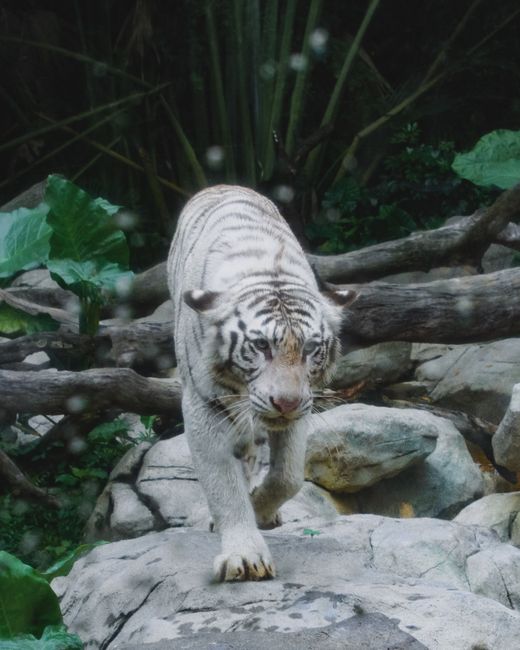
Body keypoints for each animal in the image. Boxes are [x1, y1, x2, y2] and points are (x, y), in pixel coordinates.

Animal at [167, 185, 354, 581]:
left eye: (310, 348)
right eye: (261, 345)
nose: (285, 402)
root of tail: (222, 184)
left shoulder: (302, 408)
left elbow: (288, 476)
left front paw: (261, 510)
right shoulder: (204, 407)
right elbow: (223, 485)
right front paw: (244, 556)